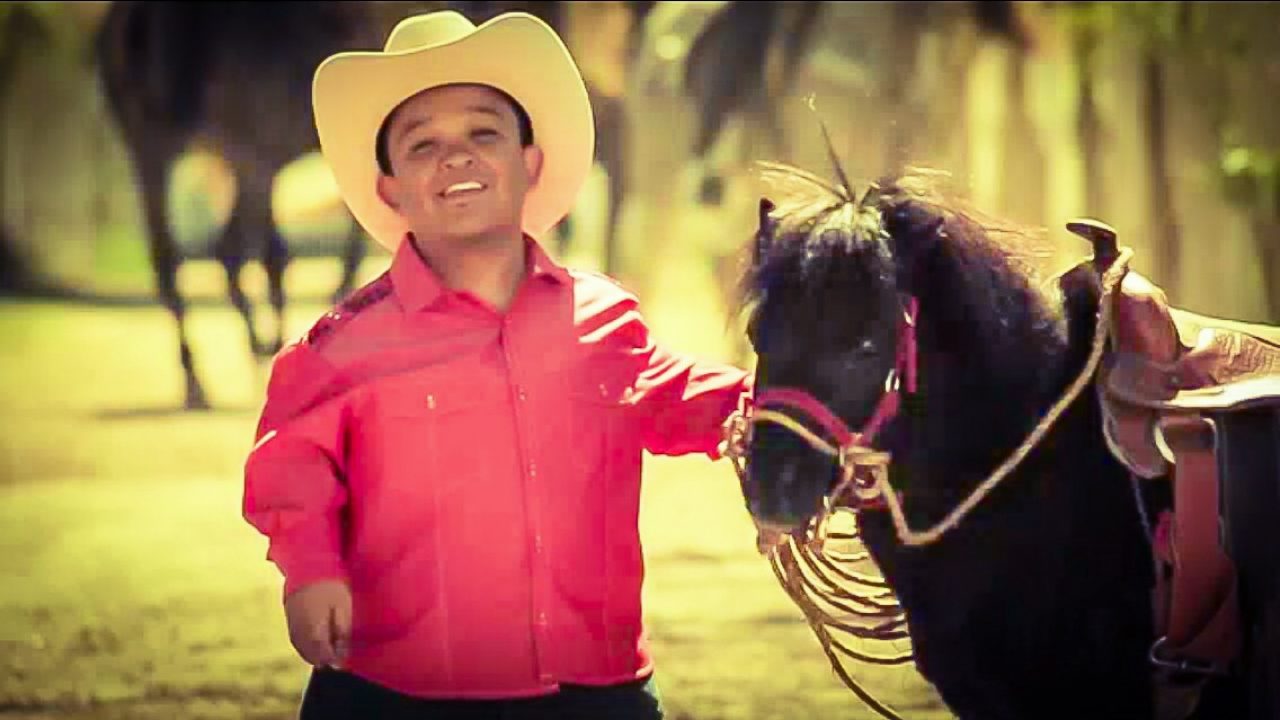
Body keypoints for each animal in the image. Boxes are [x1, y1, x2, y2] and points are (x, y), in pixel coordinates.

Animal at [94, 2, 429, 410]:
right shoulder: (263, 153)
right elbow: (285, 255)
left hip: (163, 147)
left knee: (188, 254)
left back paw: (217, 371)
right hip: (206, 153)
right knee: (219, 253)